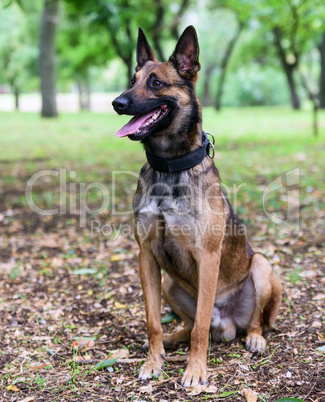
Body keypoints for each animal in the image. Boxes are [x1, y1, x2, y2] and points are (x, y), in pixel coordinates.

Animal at [112, 25, 280, 386]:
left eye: (156, 83)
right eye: (133, 79)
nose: (117, 103)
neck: (169, 166)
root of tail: (227, 324)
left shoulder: (208, 256)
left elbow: (201, 326)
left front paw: (196, 370)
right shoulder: (145, 256)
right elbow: (153, 321)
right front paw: (153, 361)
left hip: (261, 266)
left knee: (248, 321)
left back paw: (255, 338)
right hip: (171, 284)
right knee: (186, 324)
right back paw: (172, 339)